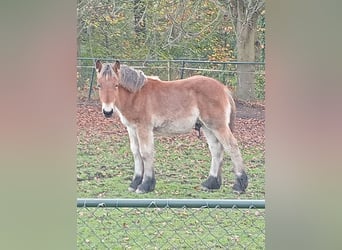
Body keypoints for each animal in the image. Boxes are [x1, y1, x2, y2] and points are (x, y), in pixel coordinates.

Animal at [95, 59, 247, 194]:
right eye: (99, 85)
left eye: (116, 85)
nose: (107, 112)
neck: (136, 95)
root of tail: (223, 89)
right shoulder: (132, 129)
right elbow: (136, 153)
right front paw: (135, 183)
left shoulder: (144, 128)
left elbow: (146, 153)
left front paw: (145, 185)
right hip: (207, 127)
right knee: (216, 150)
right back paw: (211, 183)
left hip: (218, 126)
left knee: (232, 146)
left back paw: (239, 185)